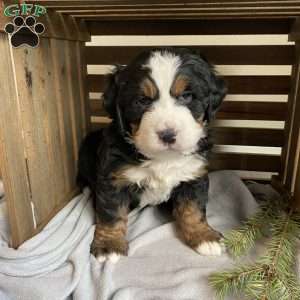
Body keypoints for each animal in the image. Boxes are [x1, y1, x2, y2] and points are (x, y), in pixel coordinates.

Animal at [77, 47, 227, 262]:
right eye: (142, 101)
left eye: (187, 96)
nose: (167, 134)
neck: (163, 159)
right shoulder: (113, 179)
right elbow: (111, 213)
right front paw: (109, 245)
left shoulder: (193, 176)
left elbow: (193, 209)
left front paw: (204, 236)